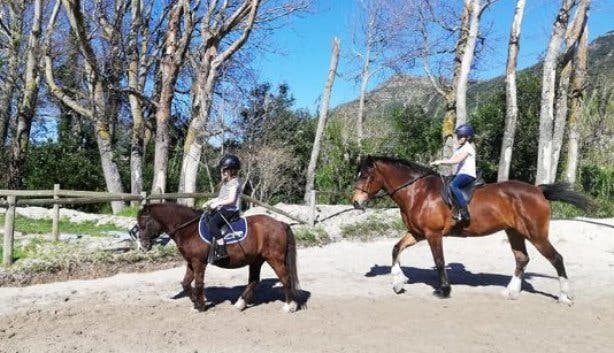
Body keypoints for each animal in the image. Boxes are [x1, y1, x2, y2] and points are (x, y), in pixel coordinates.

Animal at [134, 202, 300, 312]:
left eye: (145, 222)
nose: (143, 245)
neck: (189, 229)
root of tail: (280, 223)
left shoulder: (199, 262)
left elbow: (199, 283)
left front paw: (201, 306)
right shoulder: (191, 262)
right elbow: (186, 283)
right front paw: (195, 302)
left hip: (274, 259)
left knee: (285, 278)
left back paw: (289, 306)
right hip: (256, 260)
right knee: (254, 281)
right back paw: (240, 304)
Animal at [354, 155, 596, 304]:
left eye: (365, 176)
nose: (356, 203)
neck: (418, 192)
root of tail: (538, 191)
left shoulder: (433, 234)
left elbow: (439, 261)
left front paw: (444, 290)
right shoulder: (417, 234)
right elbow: (396, 249)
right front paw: (398, 282)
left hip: (536, 234)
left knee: (556, 258)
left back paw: (564, 296)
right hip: (515, 232)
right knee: (522, 259)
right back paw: (511, 292)